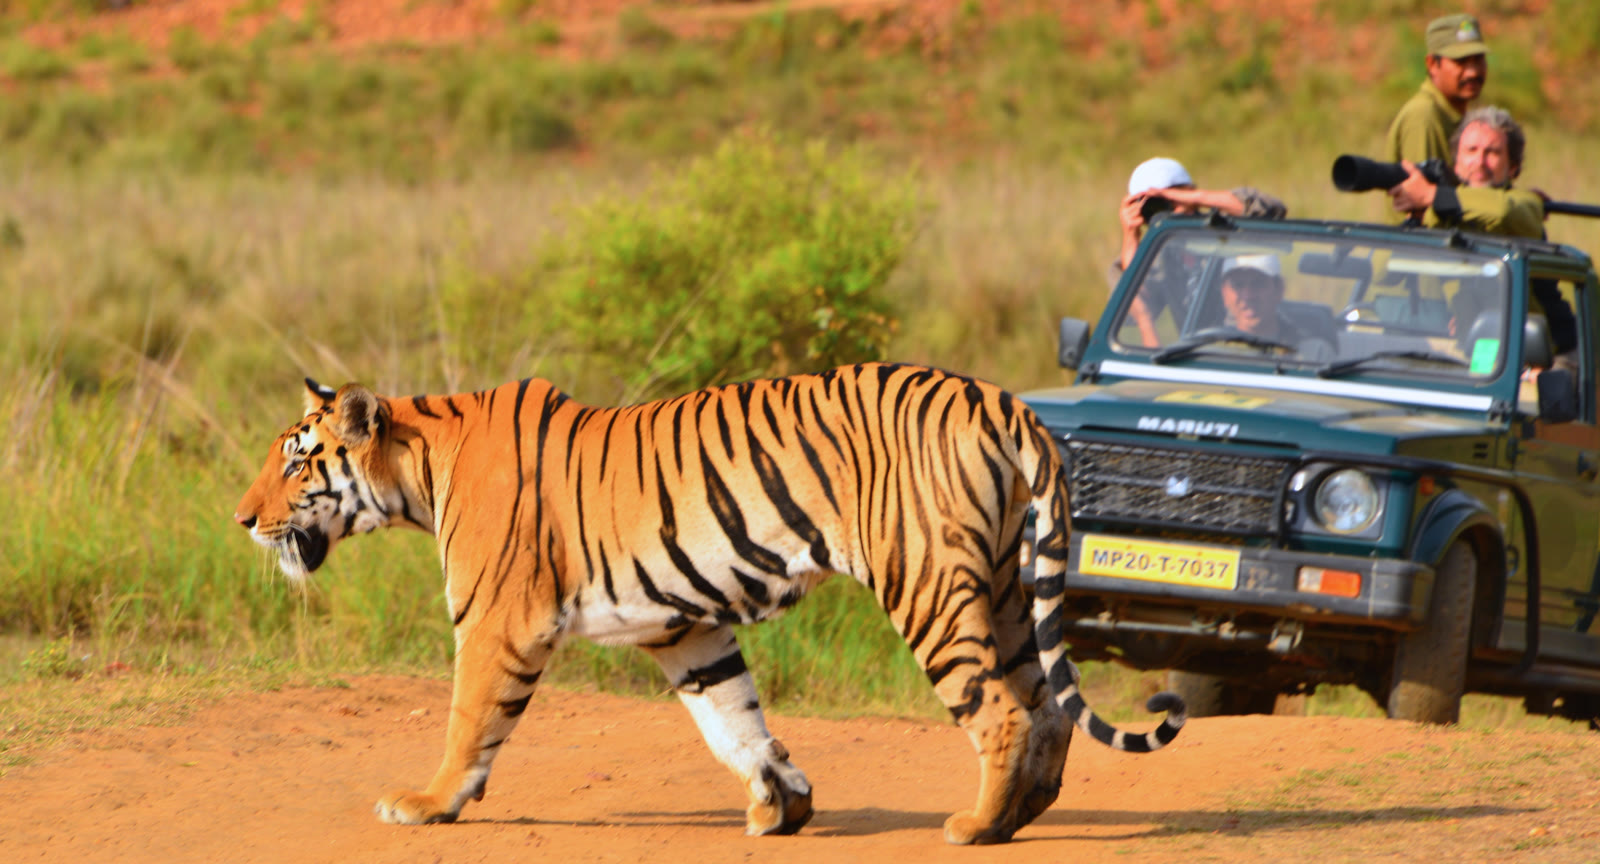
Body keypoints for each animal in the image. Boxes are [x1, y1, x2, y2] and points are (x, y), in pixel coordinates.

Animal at [232, 362, 1184, 845]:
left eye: (295, 461)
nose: (242, 519)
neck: (419, 467)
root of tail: (998, 398)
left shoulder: (497, 623)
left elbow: (468, 723)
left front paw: (428, 803)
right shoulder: (683, 628)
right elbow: (735, 722)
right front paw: (781, 806)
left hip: (927, 582)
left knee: (1000, 711)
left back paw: (976, 826)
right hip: (1009, 586)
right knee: (1046, 707)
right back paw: (1020, 814)